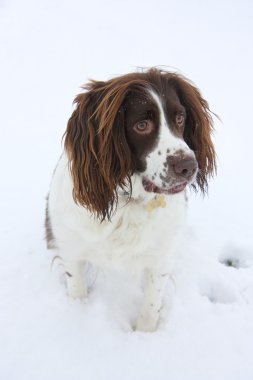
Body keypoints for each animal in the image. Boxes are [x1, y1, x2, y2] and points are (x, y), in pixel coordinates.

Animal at [45, 68, 215, 332]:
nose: (189, 166)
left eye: (180, 118)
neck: (128, 201)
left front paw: (144, 336)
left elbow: (151, 305)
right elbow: (77, 288)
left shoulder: (161, 256)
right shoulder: (71, 248)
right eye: (141, 125)